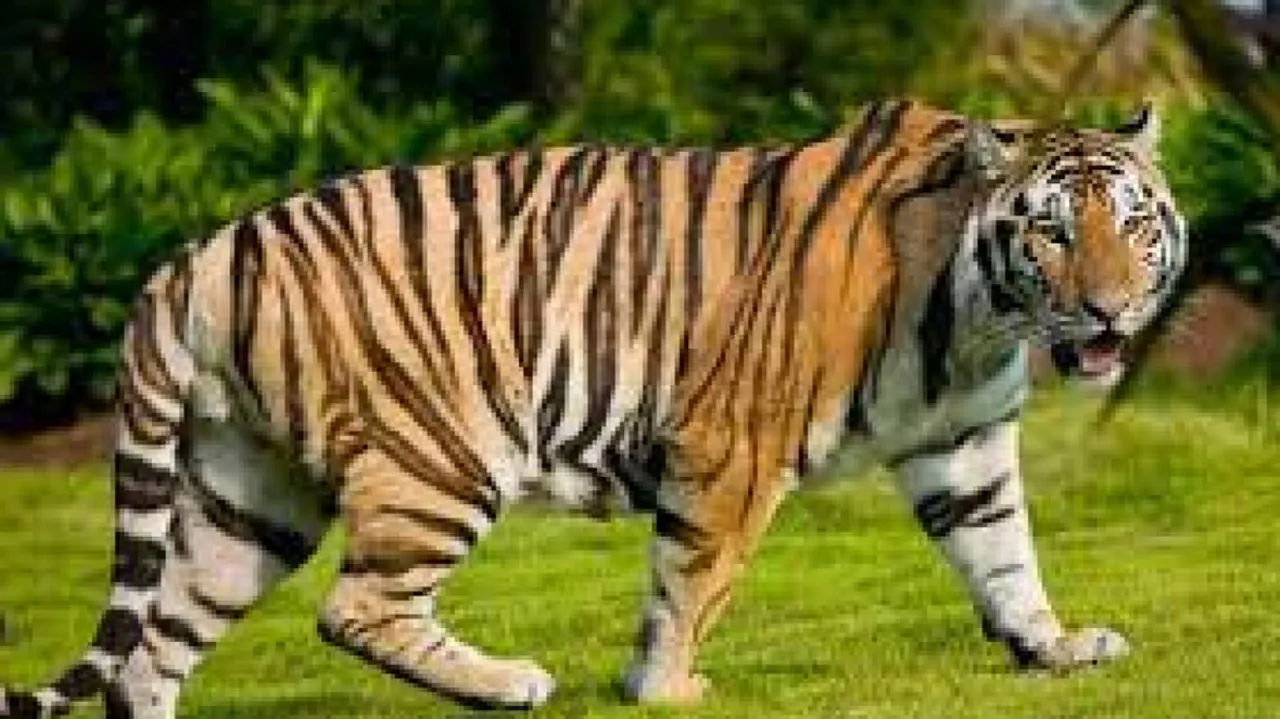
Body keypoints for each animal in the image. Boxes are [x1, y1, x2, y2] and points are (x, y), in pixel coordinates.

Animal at [0, 98, 1185, 718]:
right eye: (1051, 231)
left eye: (1132, 223)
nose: (1109, 309)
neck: (981, 314)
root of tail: (198, 250)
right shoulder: (731, 444)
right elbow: (692, 577)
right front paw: (664, 685)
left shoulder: (963, 441)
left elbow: (1004, 553)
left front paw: (1052, 645)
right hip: (441, 453)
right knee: (355, 606)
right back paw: (508, 680)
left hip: (251, 493)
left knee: (156, 641)